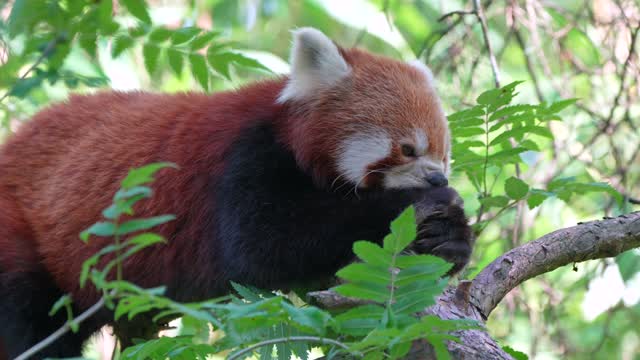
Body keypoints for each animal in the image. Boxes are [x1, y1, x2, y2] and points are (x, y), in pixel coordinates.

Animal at [0, 28, 470, 358]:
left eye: (445, 158)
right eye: (408, 149)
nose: (437, 180)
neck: (288, 133)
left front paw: (449, 239)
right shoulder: (244, 159)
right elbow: (264, 243)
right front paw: (423, 206)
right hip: (19, 232)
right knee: (26, 317)